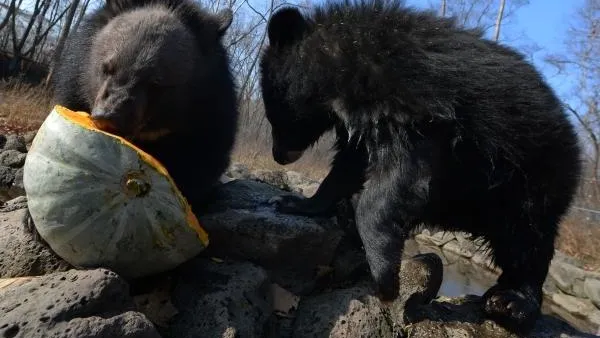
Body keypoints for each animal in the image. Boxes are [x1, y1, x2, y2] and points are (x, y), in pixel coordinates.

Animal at [51, 0, 239, 209]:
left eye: (156, 82)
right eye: (107, 68)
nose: (108, 116)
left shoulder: (213, 112)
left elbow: (199, 162)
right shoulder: (73, 81)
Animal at [260, 0, 584, 332]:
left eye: (273, 109)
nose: (278, 155)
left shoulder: (415, 107)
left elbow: (400, 177)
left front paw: (386, 281)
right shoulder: (365, 125)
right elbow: (347, 169)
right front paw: (294, 203)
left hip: (531, 176)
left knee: (527, 241)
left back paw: (510, 303)